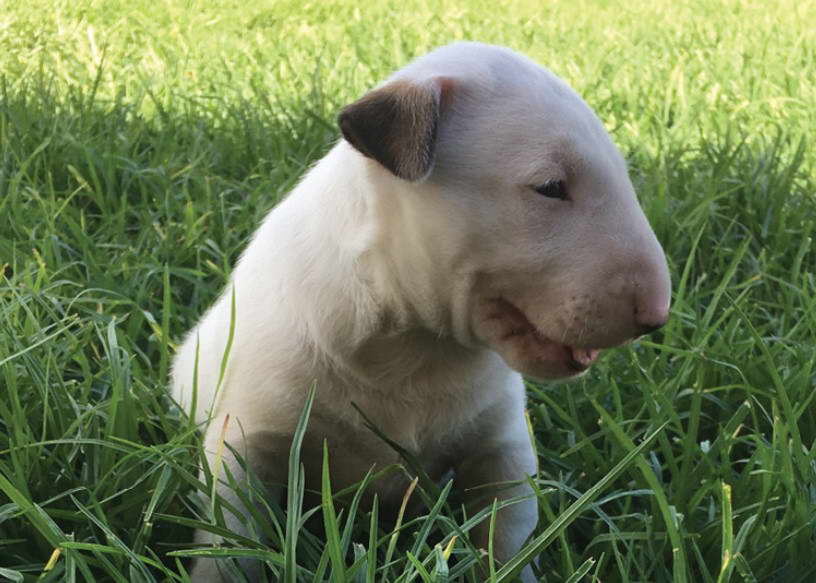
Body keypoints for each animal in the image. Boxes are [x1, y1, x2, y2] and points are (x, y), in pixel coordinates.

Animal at [172, 41, 668, 580]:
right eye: (551, 186)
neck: (414, 345)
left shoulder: (502, 445)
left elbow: (508, 531)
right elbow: (231, 535)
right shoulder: (245, 438)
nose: (656, 316)